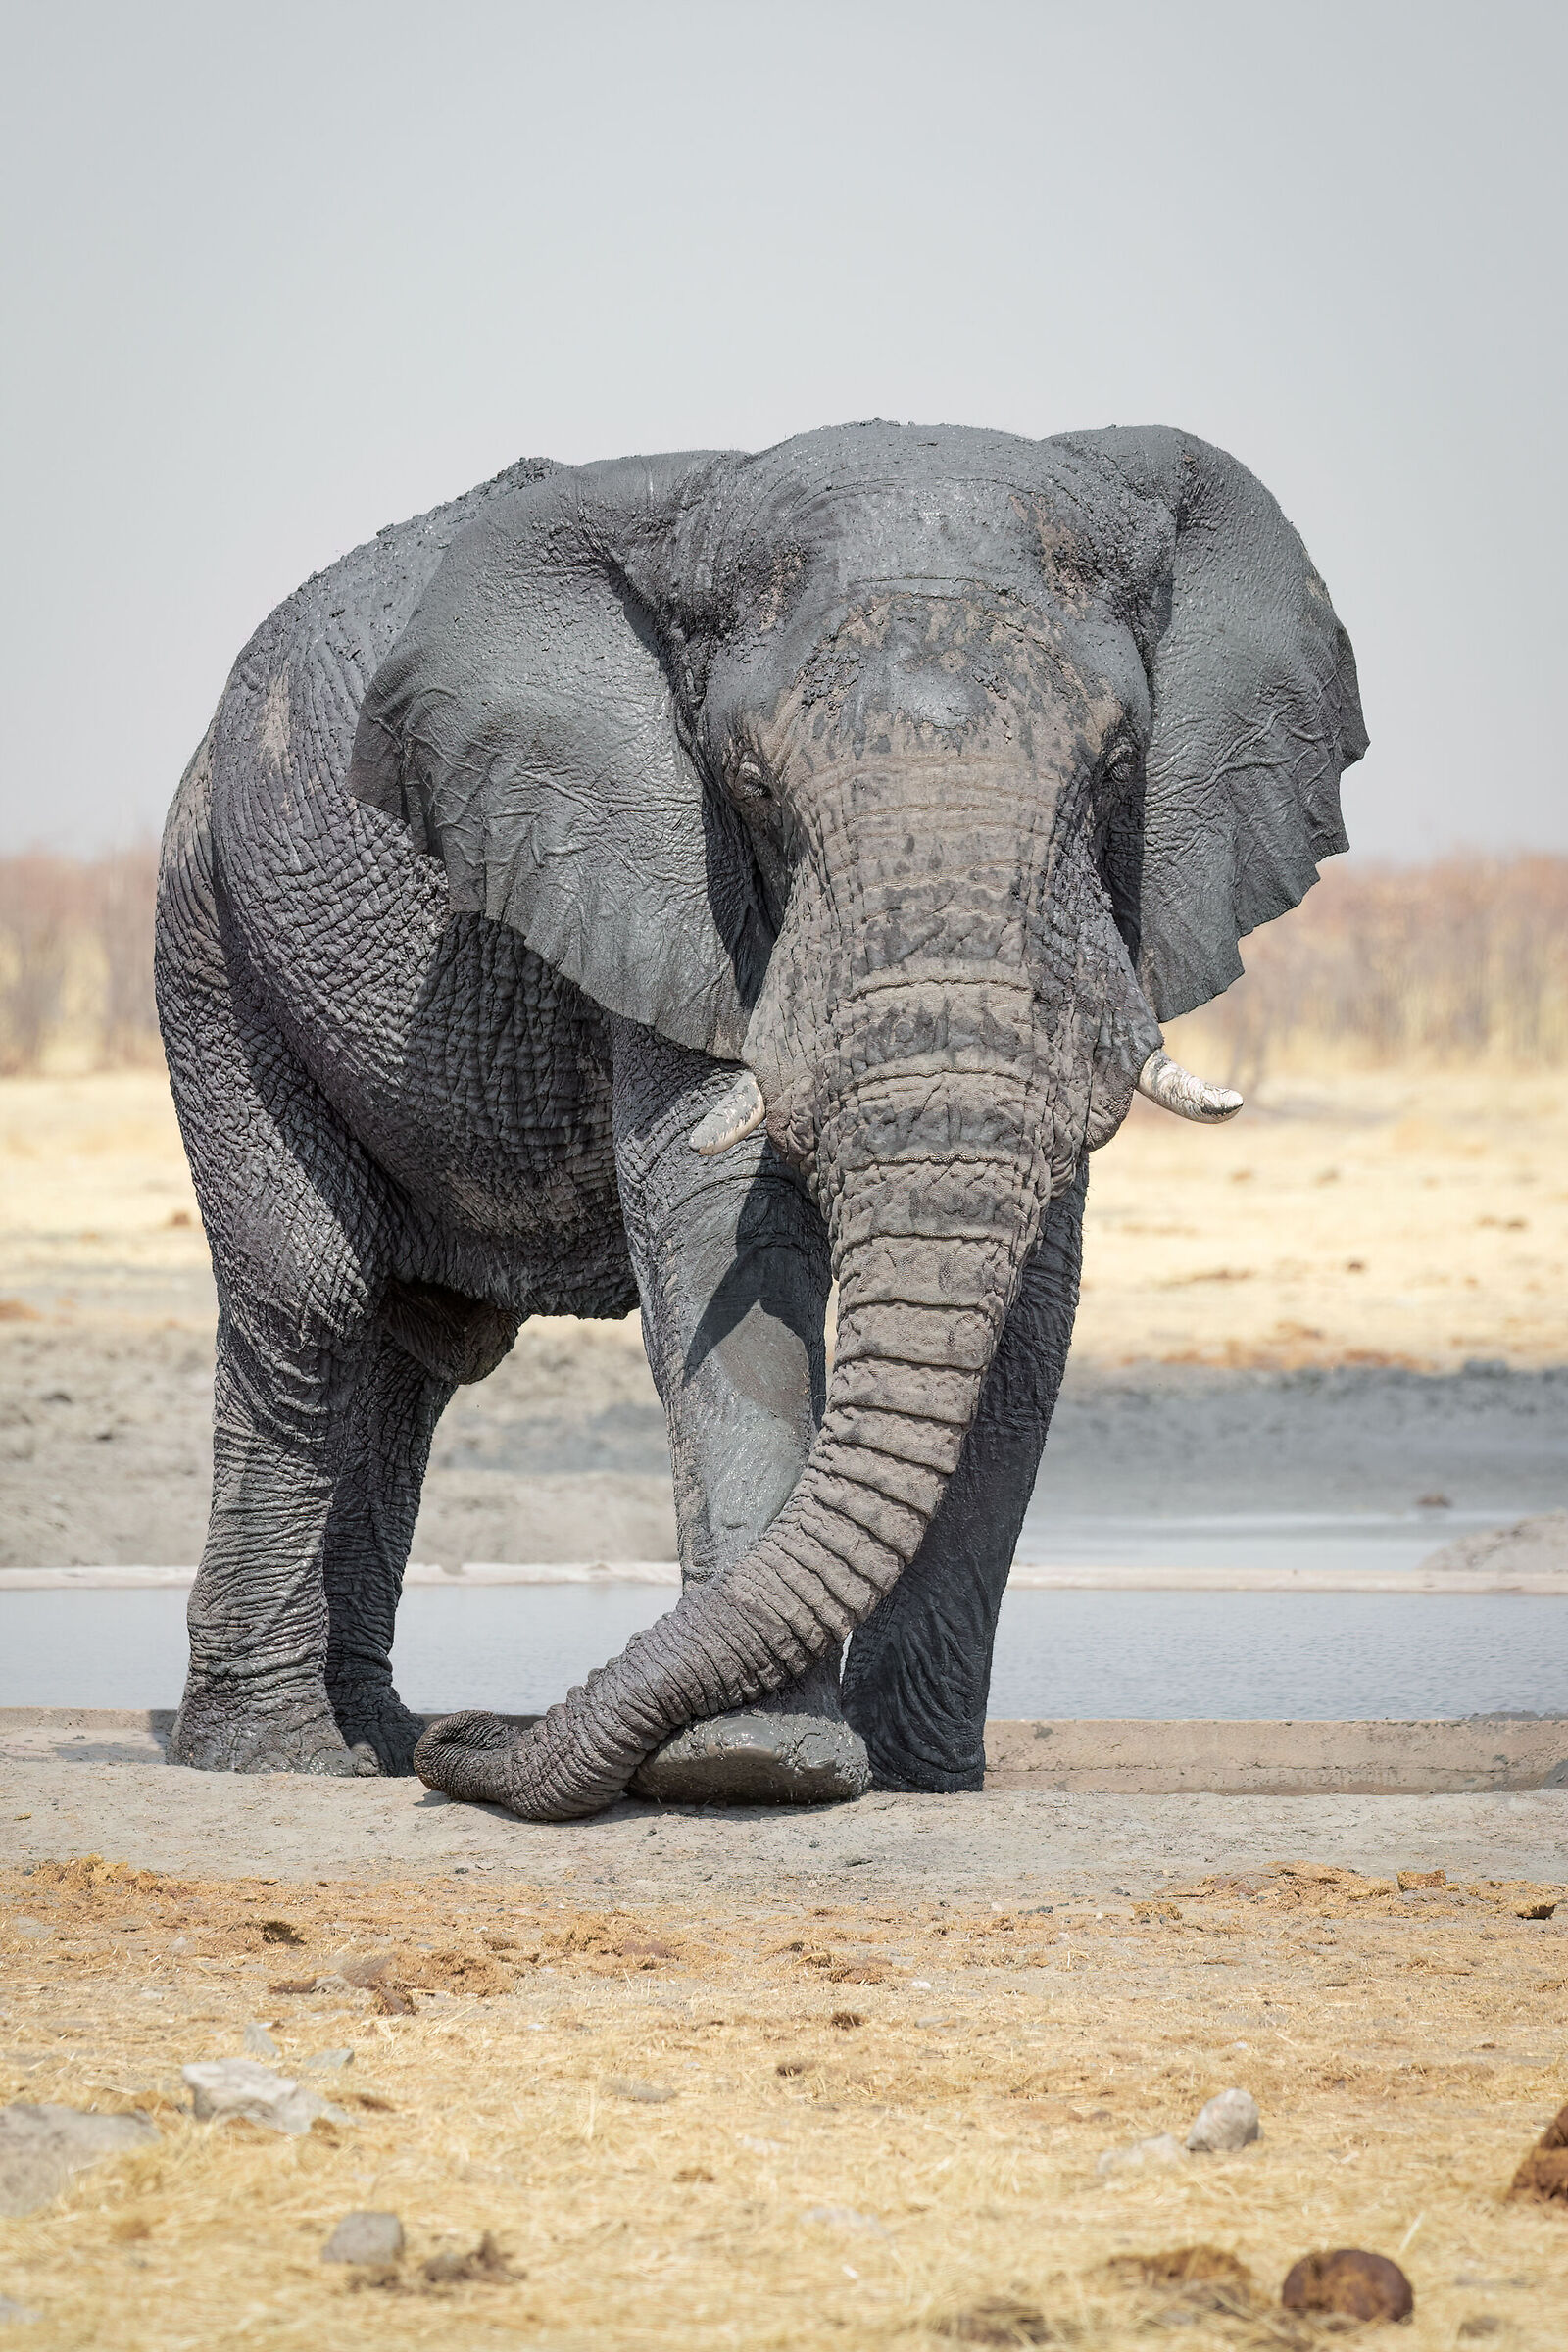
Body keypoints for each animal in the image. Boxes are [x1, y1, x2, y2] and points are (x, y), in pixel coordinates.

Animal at [155, 420, 1365, 1816]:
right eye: (748, 784)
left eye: (1119, 767)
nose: (481, 1736)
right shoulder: (645, 869)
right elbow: (722, 1230)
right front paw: (761, 1766)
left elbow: (1030, 1298)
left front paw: (917, 1776)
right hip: (209, 936)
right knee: (310, 1299)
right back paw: (286, 1756)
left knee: (419, 1350)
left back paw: (377, 1737)